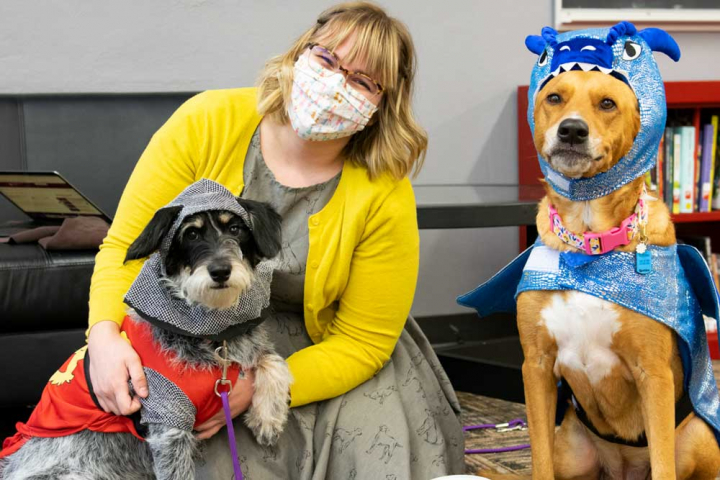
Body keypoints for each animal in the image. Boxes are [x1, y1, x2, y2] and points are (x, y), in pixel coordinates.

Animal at [0, 181, 292, 480]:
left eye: (235, 229)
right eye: (191, 234)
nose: (221, 271)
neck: (211, 333)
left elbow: (273, 360)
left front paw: (268, 418)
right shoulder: (168, 421)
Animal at [490, 71, 720, 480]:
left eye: (608, 103)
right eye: (554, 97)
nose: (571, 130)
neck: (588, 245)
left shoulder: (653, 374)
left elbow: (663, 465)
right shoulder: (536, 366)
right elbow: (539, 458)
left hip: (696, 436)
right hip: (572, 450)